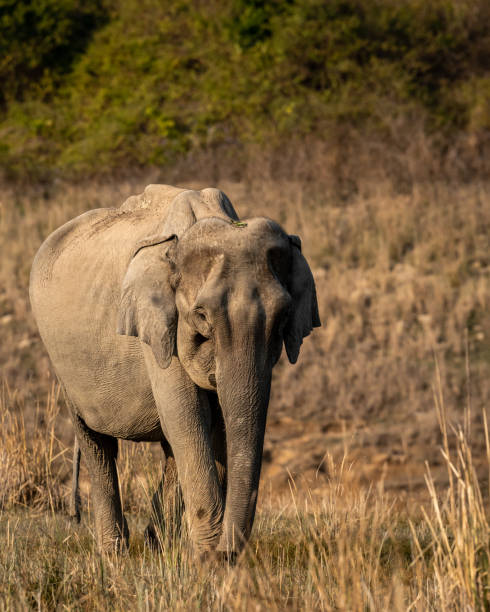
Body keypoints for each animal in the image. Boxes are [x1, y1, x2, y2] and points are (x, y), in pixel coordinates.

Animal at [30, 184, 322, 556]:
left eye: (283, 316)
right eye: (201, 316)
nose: (228, 553)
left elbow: (215, 422)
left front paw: (204, 554)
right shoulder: (155, 327)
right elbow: (187, 416)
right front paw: (207, 557)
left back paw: (156, 543)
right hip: (62, 362)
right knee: (97, 442)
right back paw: (114, 553)